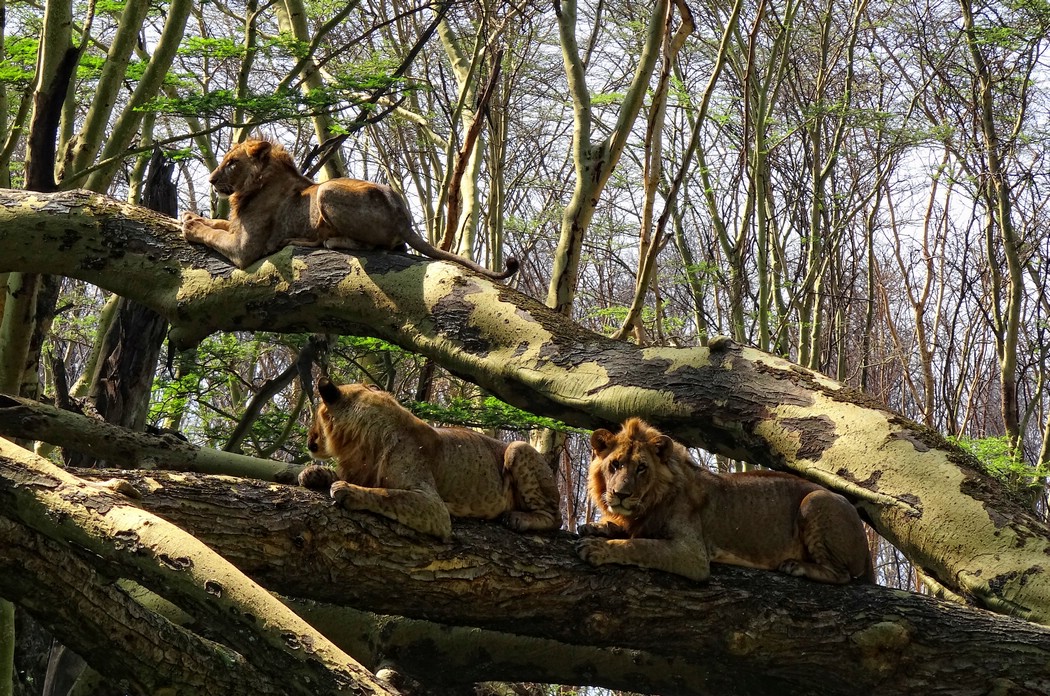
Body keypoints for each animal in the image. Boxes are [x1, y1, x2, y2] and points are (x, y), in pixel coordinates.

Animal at [575, 419, 869, 583]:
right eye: (615, 465)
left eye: (641, 468)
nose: (621, 493)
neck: (649, 502)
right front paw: (596, 526)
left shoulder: (692, 554)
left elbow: (639, 546)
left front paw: (599, 548)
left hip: (816, 499)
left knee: (843, 575)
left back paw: (796, 567)